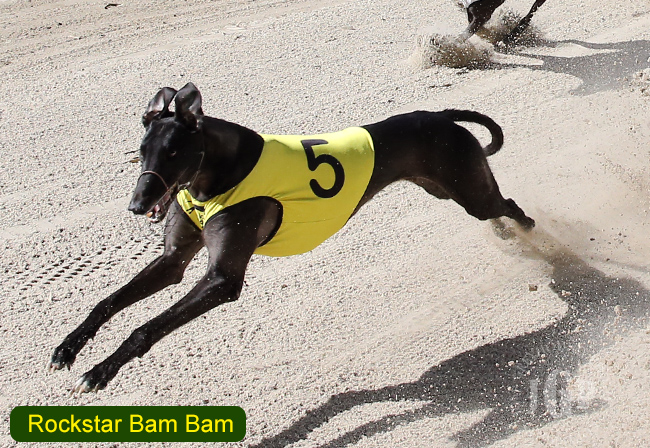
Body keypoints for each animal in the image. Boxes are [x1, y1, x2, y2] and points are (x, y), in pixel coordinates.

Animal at [48, 83, 534, 392]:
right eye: (141, 152)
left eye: (172, 152)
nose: (136, 205)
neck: (221, 174)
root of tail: (441, 115)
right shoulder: (172, 262)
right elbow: (108, 301)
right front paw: (69, 347)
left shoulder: (222, 280)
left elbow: (145, 328)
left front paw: (100, 371)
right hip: (445, 187)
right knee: (495, 210)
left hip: (472, 191)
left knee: (509, 205)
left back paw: (531, 235)